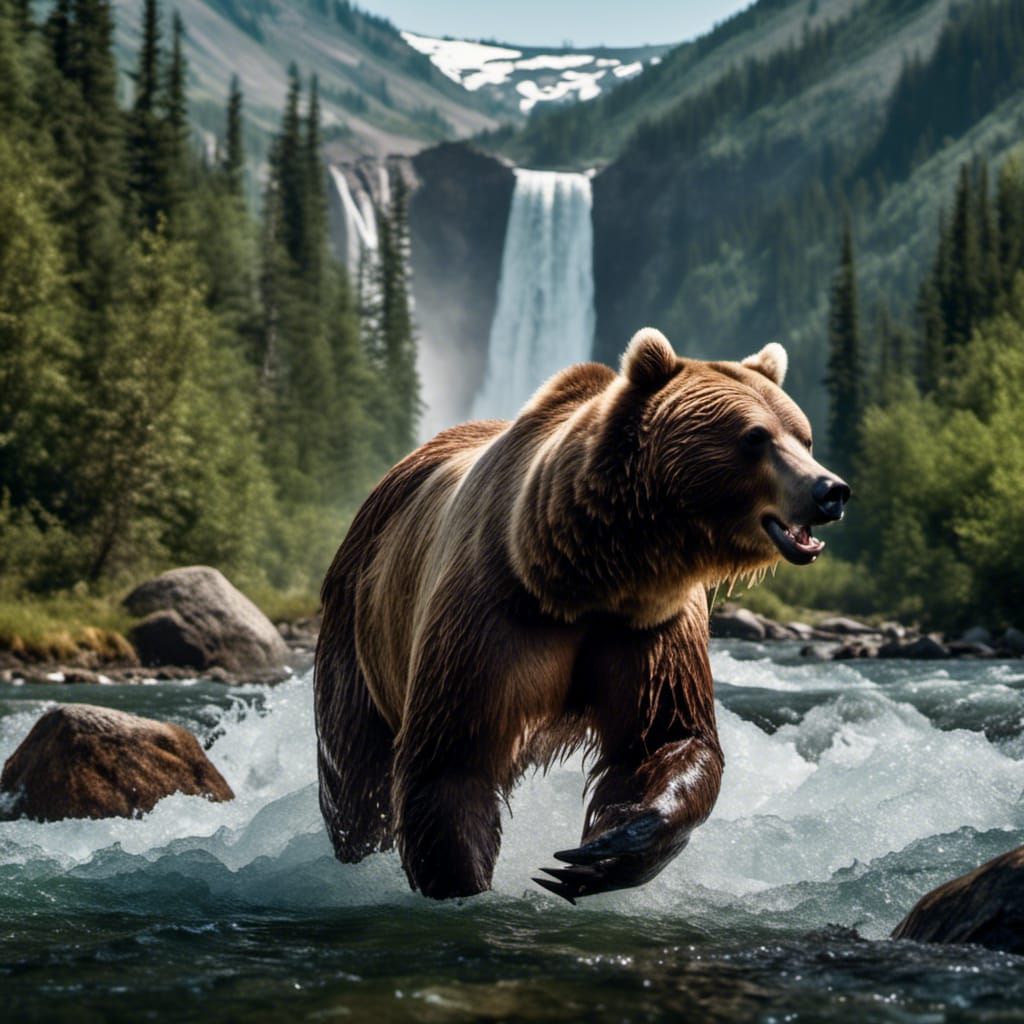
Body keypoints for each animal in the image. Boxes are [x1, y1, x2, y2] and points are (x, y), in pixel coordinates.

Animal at [314, 328, 849, 902]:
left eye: (804, 436)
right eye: (755, 436)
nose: (829, 490)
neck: (589, 578)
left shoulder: (650, 630)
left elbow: (667, 739)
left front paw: (603, 850)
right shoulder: (491, 620)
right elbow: (451, 764)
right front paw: (464, 884)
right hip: (359, 627)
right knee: (356, 770)